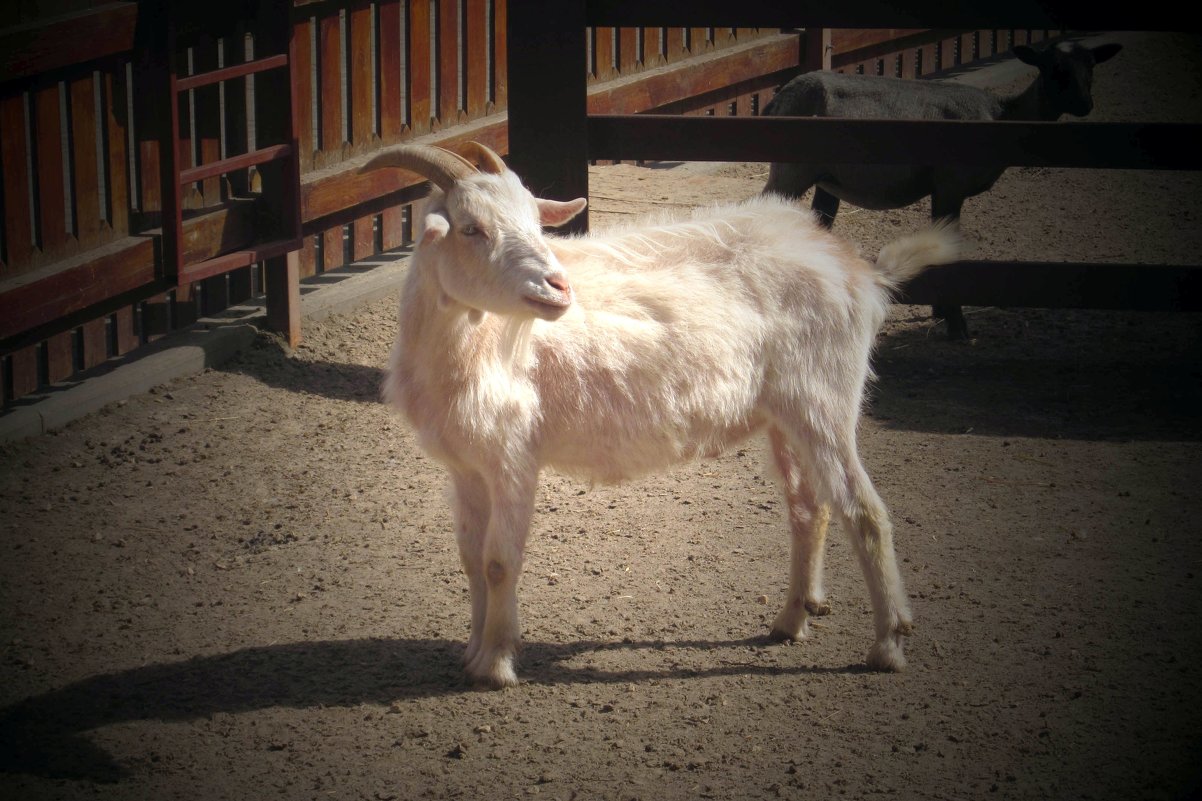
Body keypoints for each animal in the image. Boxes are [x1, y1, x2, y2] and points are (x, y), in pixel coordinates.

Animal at [360, 140, 961, 683]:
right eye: (471, 229)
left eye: (535, 220)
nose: (558, 287)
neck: (474, 342)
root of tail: (859, 271)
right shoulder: (465, 465)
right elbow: (469, 558)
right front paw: (471, 652)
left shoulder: (513, 457)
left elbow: (498, 561)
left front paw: (496, 664)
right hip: (785, 417)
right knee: (808, 509)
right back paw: (790, 621)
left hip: (825, 400)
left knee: (865, 512)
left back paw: (887, 645)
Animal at [764, 42, 1120, 334]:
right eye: (1054, 68)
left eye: (1091, 66)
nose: (1085, 105)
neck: (1004, 115)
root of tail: (780, 96)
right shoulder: (951, 184)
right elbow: (951, 252)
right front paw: (956, 322)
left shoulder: (941, 189)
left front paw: (940, 310)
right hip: (791, 171)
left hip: (828, 181)